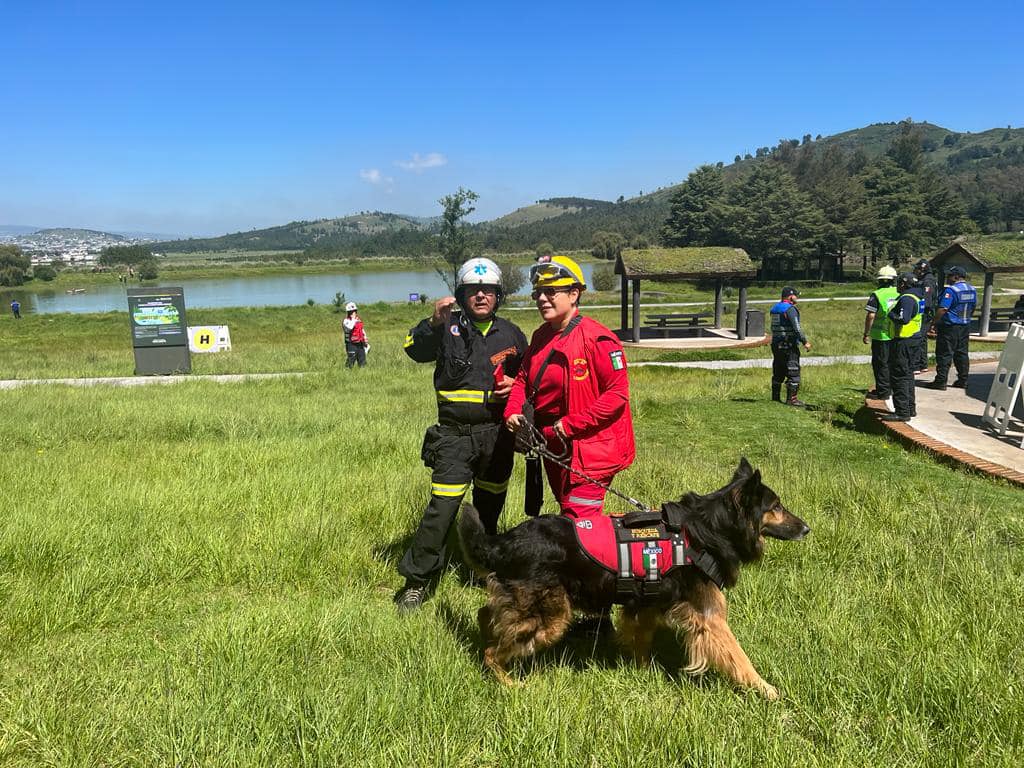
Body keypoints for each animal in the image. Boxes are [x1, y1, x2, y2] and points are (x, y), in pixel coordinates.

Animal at [462, 460, 806, 700]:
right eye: (776, 507)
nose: (807, 529)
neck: (707, 530)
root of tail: (504, 541)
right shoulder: (709, 617)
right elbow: (739, 657)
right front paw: (765, 689)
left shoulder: (647, 604)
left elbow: (641, 639)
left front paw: (641, 671)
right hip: (549, 617)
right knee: (492, 654)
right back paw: (508, 682)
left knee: (485, 614)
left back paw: (484, 635)